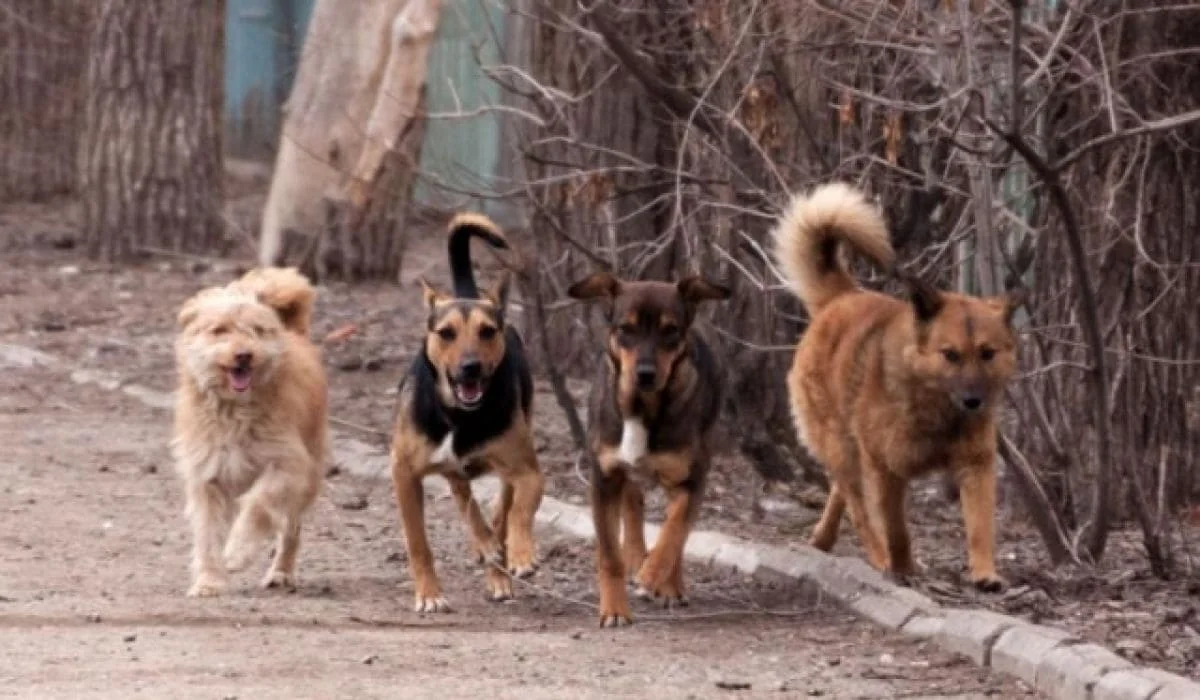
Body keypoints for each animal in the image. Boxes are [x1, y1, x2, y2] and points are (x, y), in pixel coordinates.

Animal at [170, 268, 328, 597]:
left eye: (256, 330)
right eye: (219, 330)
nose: (244, 355)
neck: (234, 410)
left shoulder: (288, 465)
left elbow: (259, 504)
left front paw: (237, 552)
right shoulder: (207, 477)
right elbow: (208, 534)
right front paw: (209, 580)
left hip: (308, 478)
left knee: (291, 529)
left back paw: (281, 572)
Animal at [388, 213, 544, 614]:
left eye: (487, 331)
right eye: (446, 333)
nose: (470, 367)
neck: (459, 416)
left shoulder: (526, 470)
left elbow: (520, 511)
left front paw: (520, 554)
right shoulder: (404, 472)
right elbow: (418, 541)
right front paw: (429, 593)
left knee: (500, 506)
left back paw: (497, 564)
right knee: (463, 495)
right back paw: (484, 544)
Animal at [568, 271, 729, 629]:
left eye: (670, 330)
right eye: (625, 329)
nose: (644, 374)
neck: (641, 408)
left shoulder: (691, 479)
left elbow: (674, 531)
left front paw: (653, 577)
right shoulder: (604, 480)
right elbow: (609, 555)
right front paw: (614, 608)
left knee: (676, 527)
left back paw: (669, 583)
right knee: (633, 501)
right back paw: (634, 555)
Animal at [772, 182, 1027, 590]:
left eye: (987, 353)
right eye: (950, 355)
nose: (974, 401)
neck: (936, 408)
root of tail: (841, 298)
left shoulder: (976, 466)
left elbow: (980, 526)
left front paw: (985, 573)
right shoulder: (886, 469)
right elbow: (896, 529)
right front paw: (902, 565)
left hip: (849, 451)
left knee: (841, 493)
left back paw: (824, 538)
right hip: (842, 447)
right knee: (858, 507)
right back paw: (877, 557)